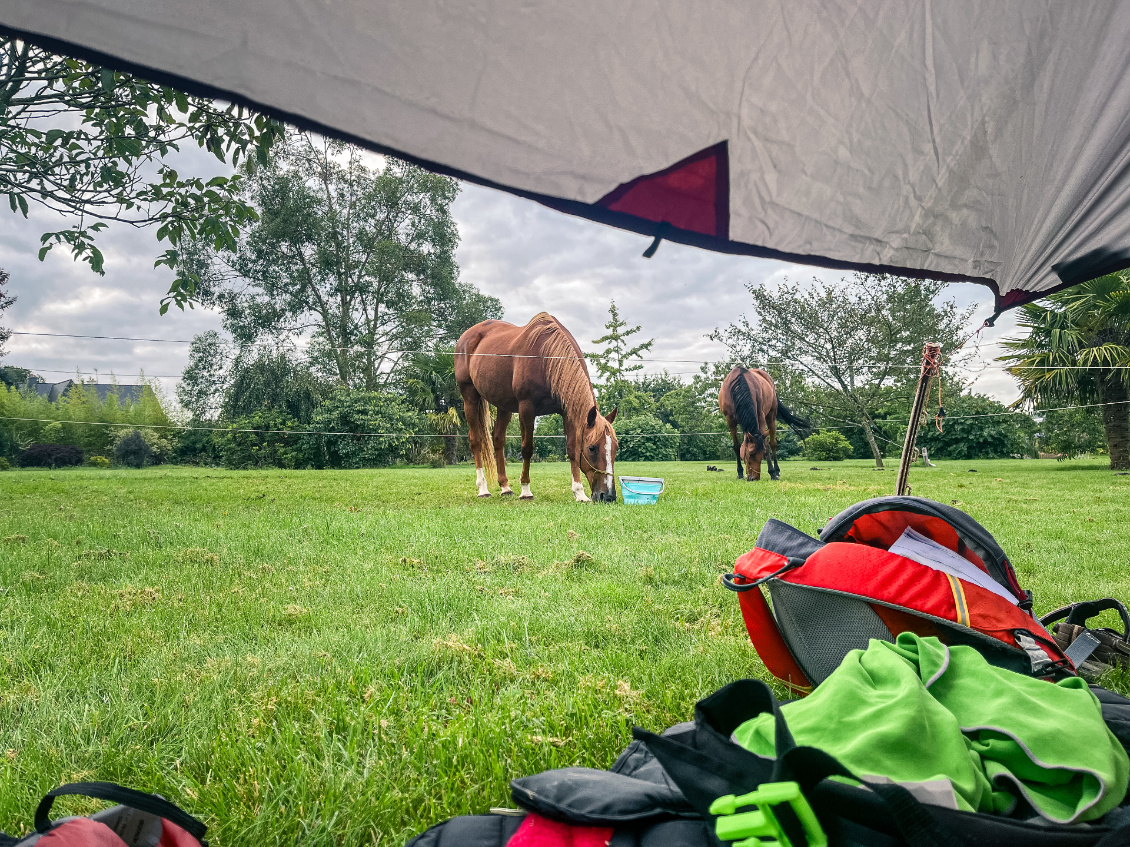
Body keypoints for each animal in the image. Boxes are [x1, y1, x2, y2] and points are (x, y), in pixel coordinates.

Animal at [454, 316, 623, 503]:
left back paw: (505, 487)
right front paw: (526, 490)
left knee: (498, 440)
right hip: (470, 397)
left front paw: (579, 492)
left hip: (503, 405)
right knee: (475, 440)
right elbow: (527, 448)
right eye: (592, 448)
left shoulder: (567, 412)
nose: (608, 496)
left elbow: (572, 449)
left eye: (616, 447)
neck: (547, 359)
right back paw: (483, 489)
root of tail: (466, 336)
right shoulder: (526, 409)